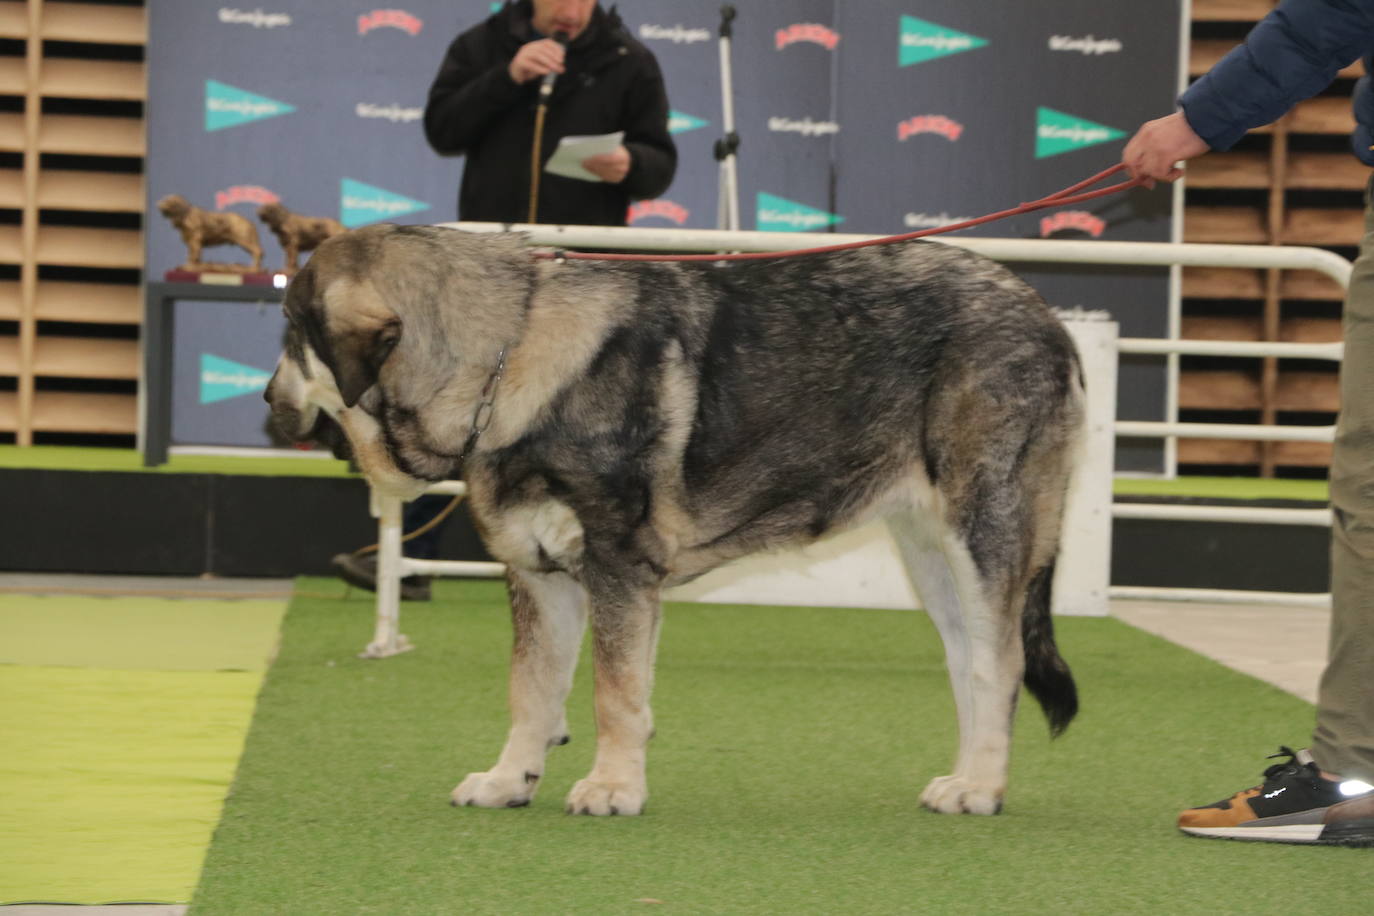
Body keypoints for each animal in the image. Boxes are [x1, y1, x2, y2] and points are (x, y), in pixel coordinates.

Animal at [265, 225, 1082, 818]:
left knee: (1001, 660)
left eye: (290, 332)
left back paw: (981, 788)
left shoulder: (618, 564)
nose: (265, 400)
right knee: (969, 662)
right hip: (929, 553)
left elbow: (613, 691)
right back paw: (964, 777)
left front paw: (612, 787)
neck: (507, 353)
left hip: (984, 526)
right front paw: (509, 779)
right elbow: (532, 689)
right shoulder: (540, 575)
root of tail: (1049, 318)